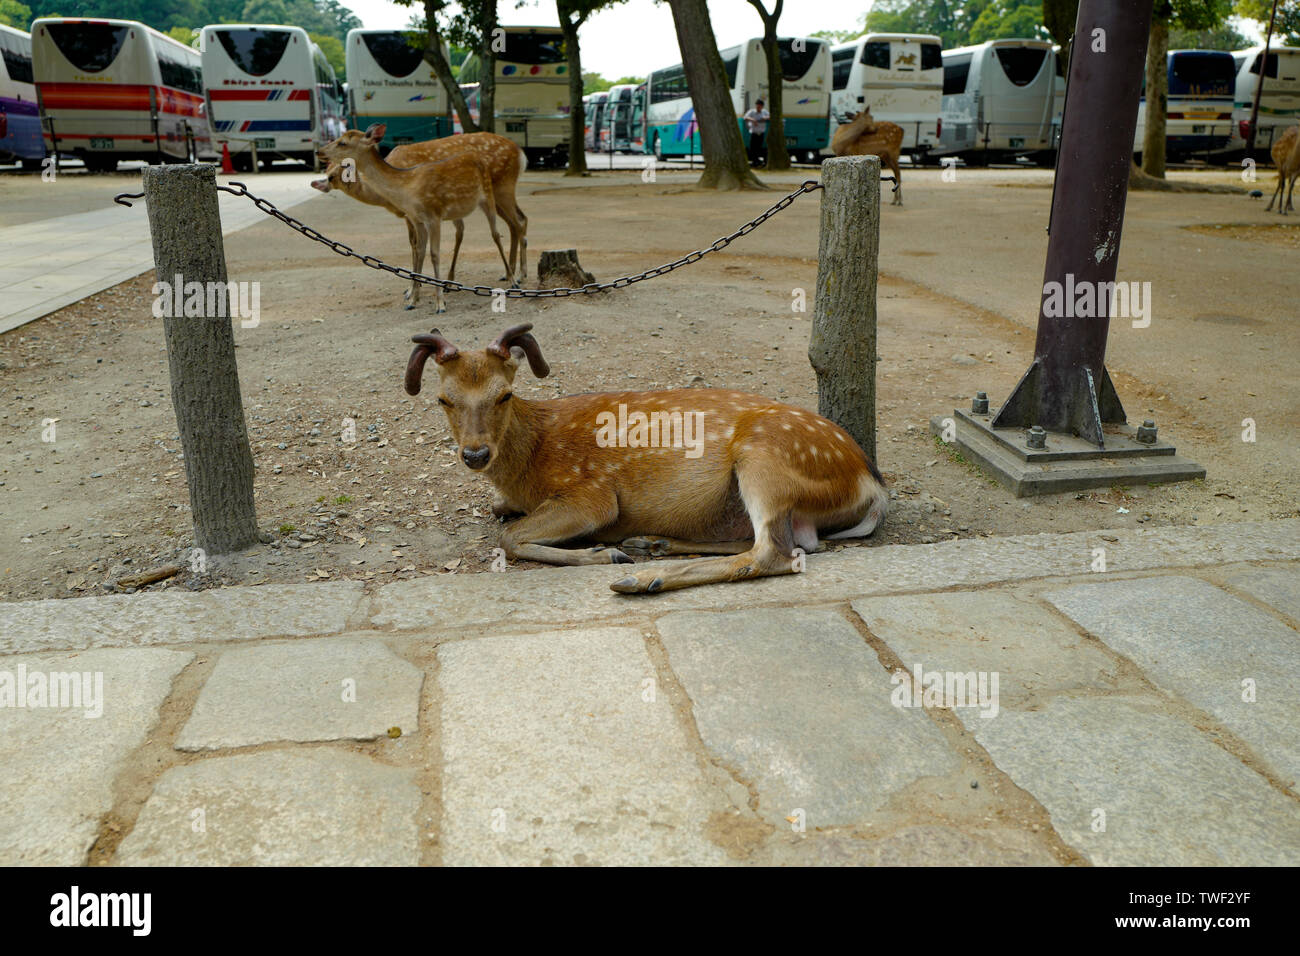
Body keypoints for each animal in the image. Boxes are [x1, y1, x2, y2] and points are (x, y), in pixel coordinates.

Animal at [317, 125, 514, 312]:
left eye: (342, 142)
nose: (318, 151)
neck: (406, 187)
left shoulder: (433, 215)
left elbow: (434, 254)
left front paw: (440, 304)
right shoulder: (417, 218)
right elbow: (419, 251)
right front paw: (412, 300)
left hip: (488, 195)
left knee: (497, 234)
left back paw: (513, 280)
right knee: (466, 231)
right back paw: (452, 282)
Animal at [403, 323, 894, 590]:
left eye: (504, 394)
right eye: (443, 399)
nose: (475, 453)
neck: (530, 462)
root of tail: (873, 484)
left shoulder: (592, 493)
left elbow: (509, 537)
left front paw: (603, 554)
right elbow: (500, 513)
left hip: (765, 456)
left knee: (775, 552)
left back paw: (638, 577)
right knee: (779, 542)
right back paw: (651, 544)